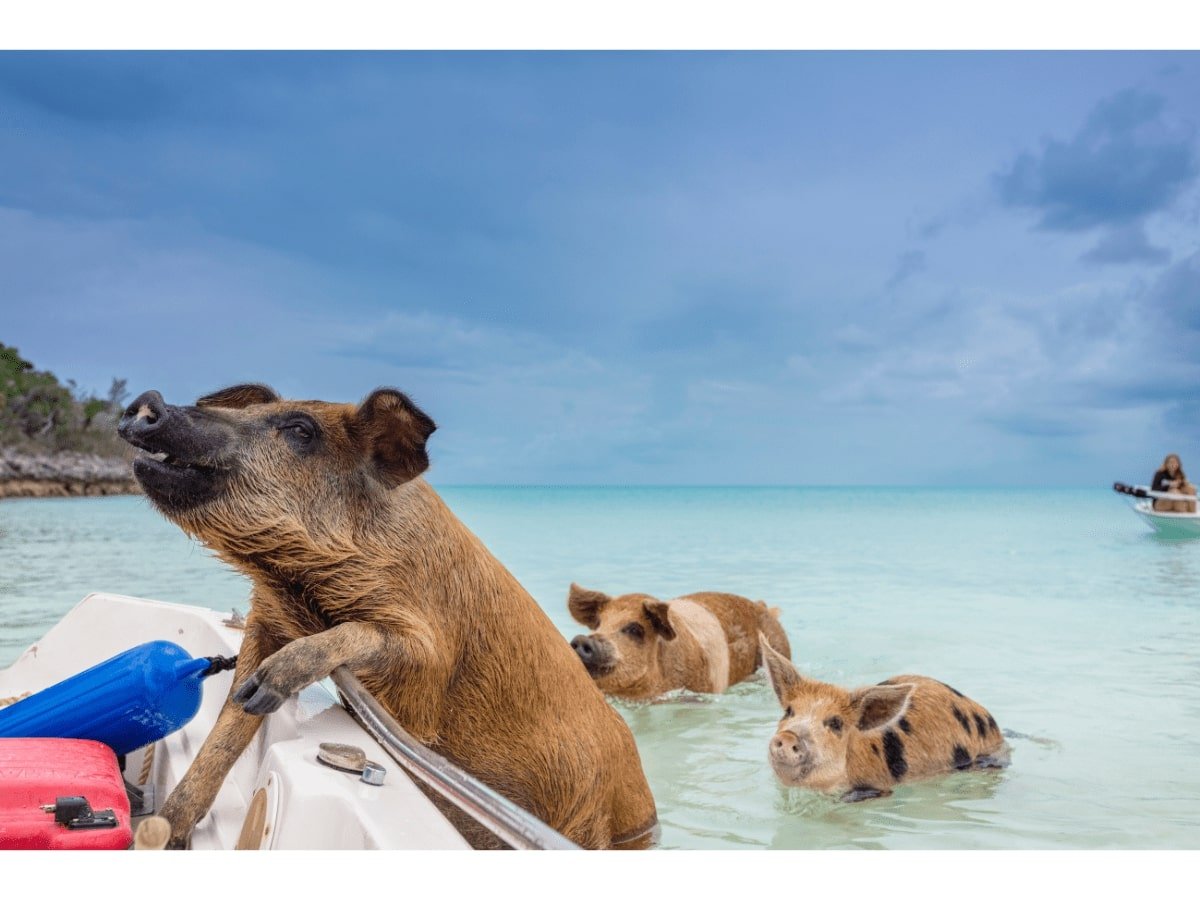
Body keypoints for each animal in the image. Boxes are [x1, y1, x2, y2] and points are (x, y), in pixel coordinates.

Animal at [117, 384, 657, 849]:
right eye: (251, 411)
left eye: (301, 430)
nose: (149, 400)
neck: (302, 587)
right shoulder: (267, 620)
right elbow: (229, 723)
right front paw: (167, 830)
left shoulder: (428, 661)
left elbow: (369, 641)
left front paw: (267, 687)